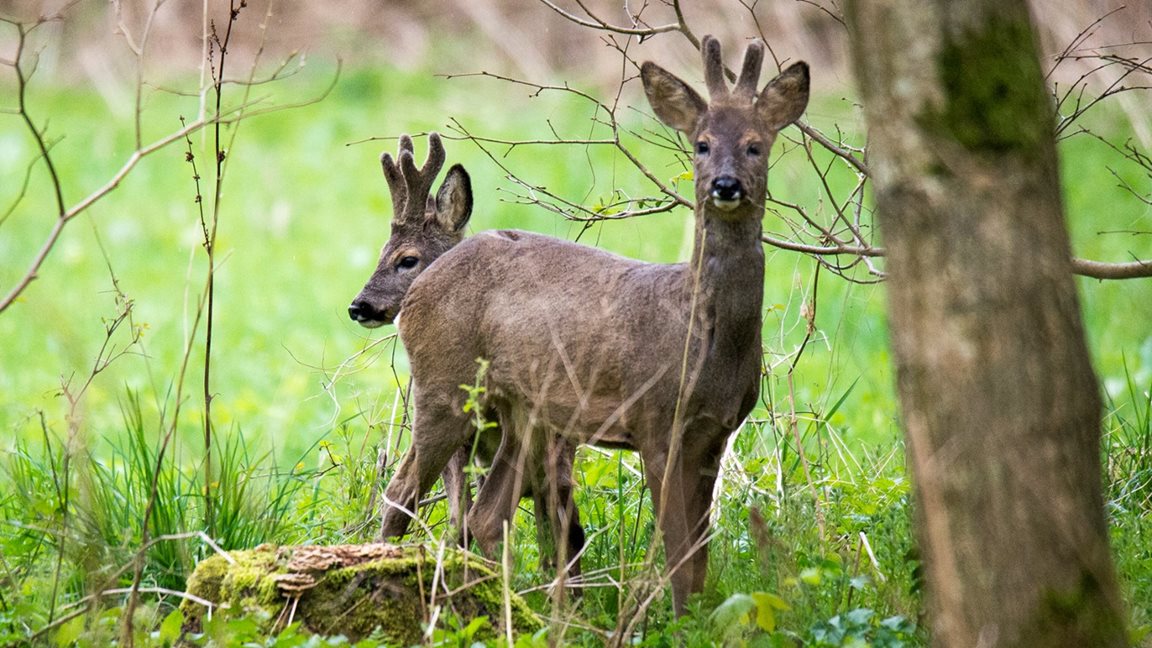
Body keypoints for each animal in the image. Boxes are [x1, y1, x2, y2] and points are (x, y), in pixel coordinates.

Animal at [377, 35, 811, 608]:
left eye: (755, 144)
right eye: (701, 143)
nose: (725, 185)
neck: (699, 336)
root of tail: (419, 289)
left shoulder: (715, 433)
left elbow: (698, 554)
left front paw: (697, 614)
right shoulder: (655, 419)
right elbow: (676, 551)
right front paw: (679, 618)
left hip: (523, 413)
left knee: (486, 515)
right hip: (445, 385)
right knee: (401, 492)